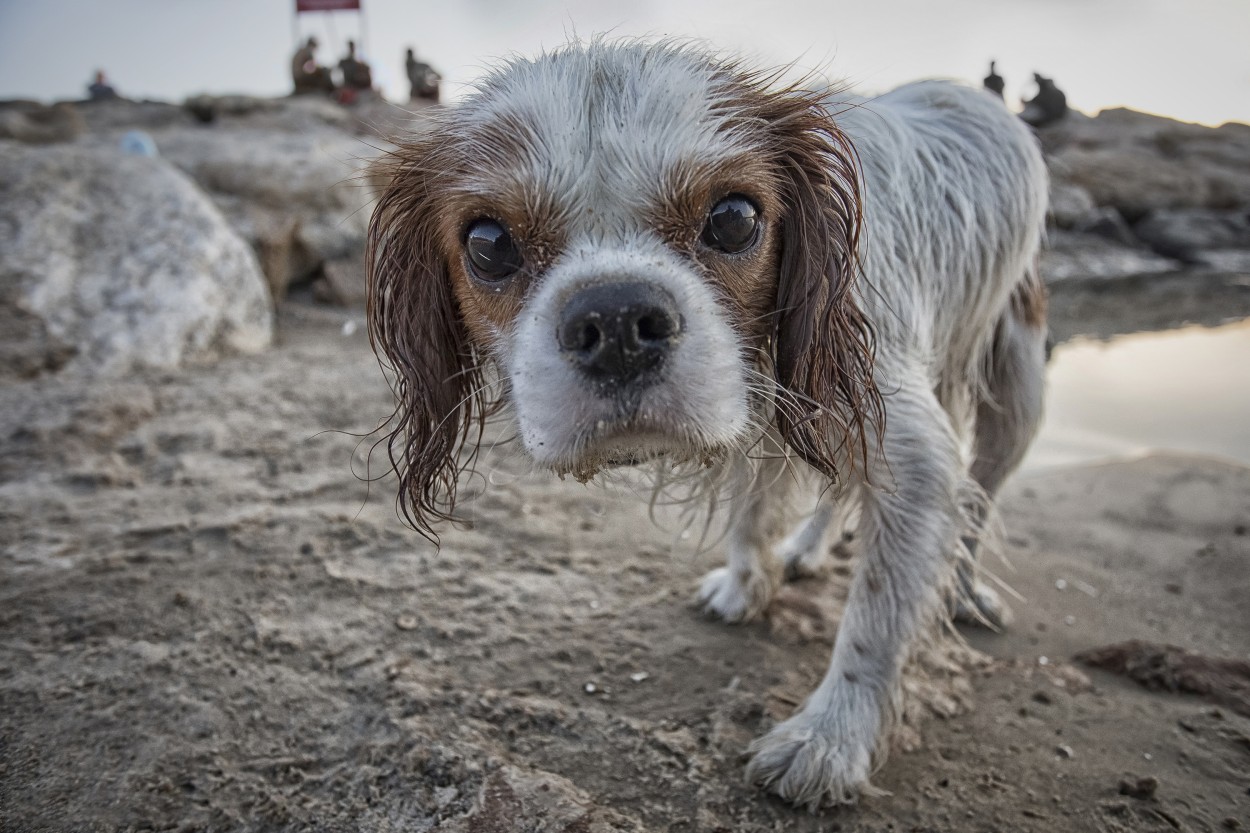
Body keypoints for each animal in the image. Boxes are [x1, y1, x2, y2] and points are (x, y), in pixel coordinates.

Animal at [365, 38, 1050, 805]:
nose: (616, 321)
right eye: (488, 242)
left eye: (734, 220)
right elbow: (757, 509)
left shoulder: (907, 443)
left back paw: (963, 591)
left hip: (1017, 387)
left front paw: (830, 738)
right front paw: (748, 584)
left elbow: (876, 617)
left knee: (981, 502)